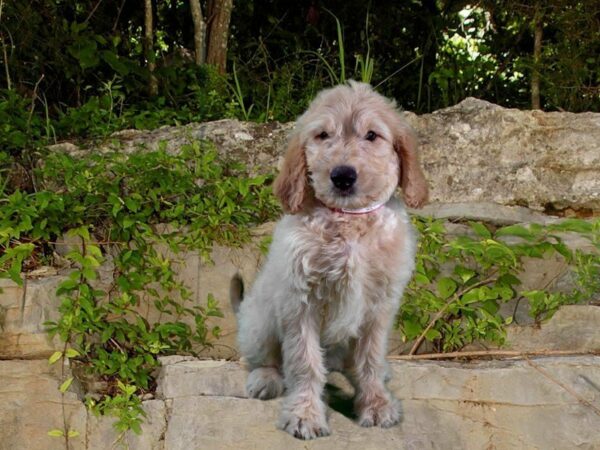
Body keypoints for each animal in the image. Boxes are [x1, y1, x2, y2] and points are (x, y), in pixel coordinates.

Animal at [232, 81, 428, 440]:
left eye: (371, 135)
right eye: (323, 135)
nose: (343, 176)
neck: (349, 222)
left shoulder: (380, 305)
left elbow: (369, 359)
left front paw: (375, 403)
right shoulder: (301, 301)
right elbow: (304, 363)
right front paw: (305, 414)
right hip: (259, 321)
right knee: (264, 359)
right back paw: (265, 378)